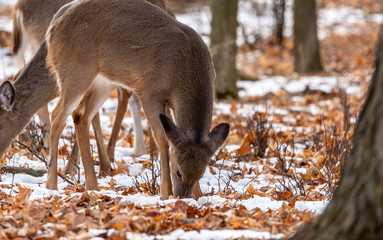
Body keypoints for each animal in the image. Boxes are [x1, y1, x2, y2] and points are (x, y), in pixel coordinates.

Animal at [45, 0, 231, 199]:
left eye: (201, 173)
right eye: (179, 172)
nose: (182, 197)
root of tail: (52, 28)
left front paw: (199, 195)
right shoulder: (149, 92)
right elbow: (162, 139)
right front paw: (165, 193)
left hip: (103, 81)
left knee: (81, 115)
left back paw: (92, 186)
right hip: (75, 72)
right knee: (57, 116)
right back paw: (51, 185)